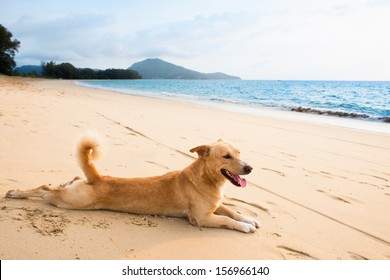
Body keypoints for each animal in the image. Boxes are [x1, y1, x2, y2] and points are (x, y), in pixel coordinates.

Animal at [5, 132, 258, 233]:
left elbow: (233, 211)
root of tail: (96, 177)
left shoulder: (216, 205)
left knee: (52, 185)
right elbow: (227, 220)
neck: (205, 178)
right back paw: (15, 193)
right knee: (45, 190)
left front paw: (249, 219)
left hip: (71, 192)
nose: (250, 168)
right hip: (70, 201)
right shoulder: (202, 218)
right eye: (226, 157)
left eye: (239, 152)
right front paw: (244, 226)